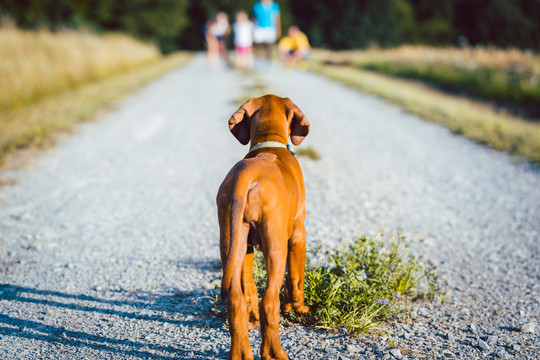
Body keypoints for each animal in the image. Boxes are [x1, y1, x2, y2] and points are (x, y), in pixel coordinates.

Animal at [217, 95, 310, 360]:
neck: (269, 145)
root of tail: (247, 173)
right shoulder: (298, 234)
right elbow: (296, 277)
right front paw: (298, 307)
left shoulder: (247, 245)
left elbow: (248, 285)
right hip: (275, 245)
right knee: (269, 300)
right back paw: (275, 352)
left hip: (230, 240)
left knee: (235, 300)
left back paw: (240, 353)